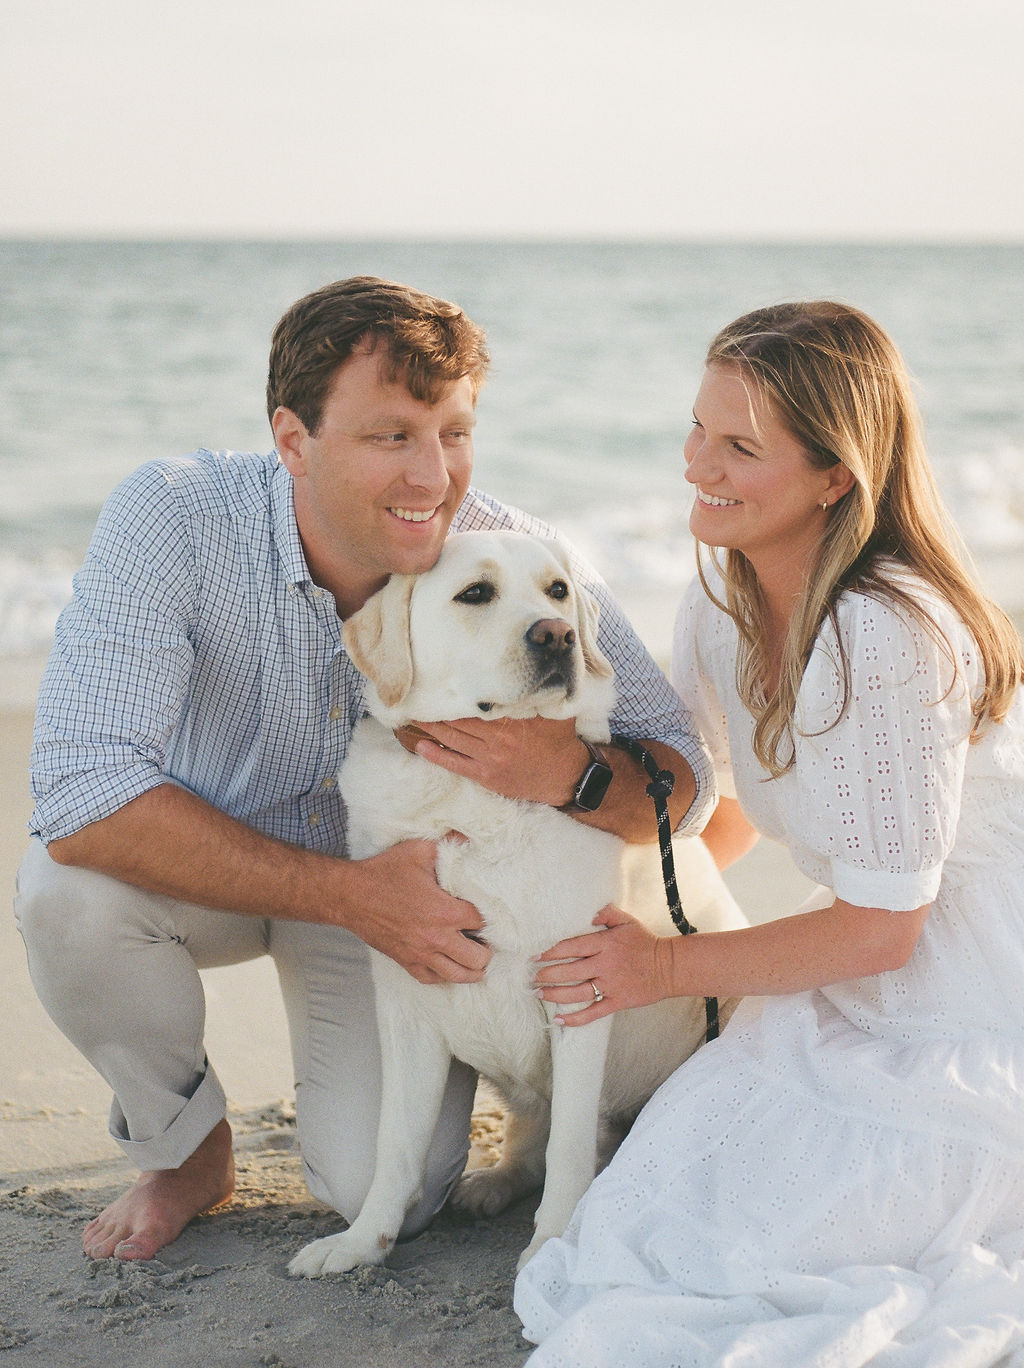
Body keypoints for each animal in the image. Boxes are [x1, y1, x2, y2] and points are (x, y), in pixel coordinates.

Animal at [287, 528, 743, 1274]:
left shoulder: (581, 985)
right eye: (476, 593)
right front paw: (363, 1242)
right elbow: (395, 1143)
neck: (473, 797)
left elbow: (569, 1149)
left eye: (557, 591)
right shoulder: (407, 1001)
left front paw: (552, 1243)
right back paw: (490, 1184)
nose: (557, 635)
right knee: (537, 1139)